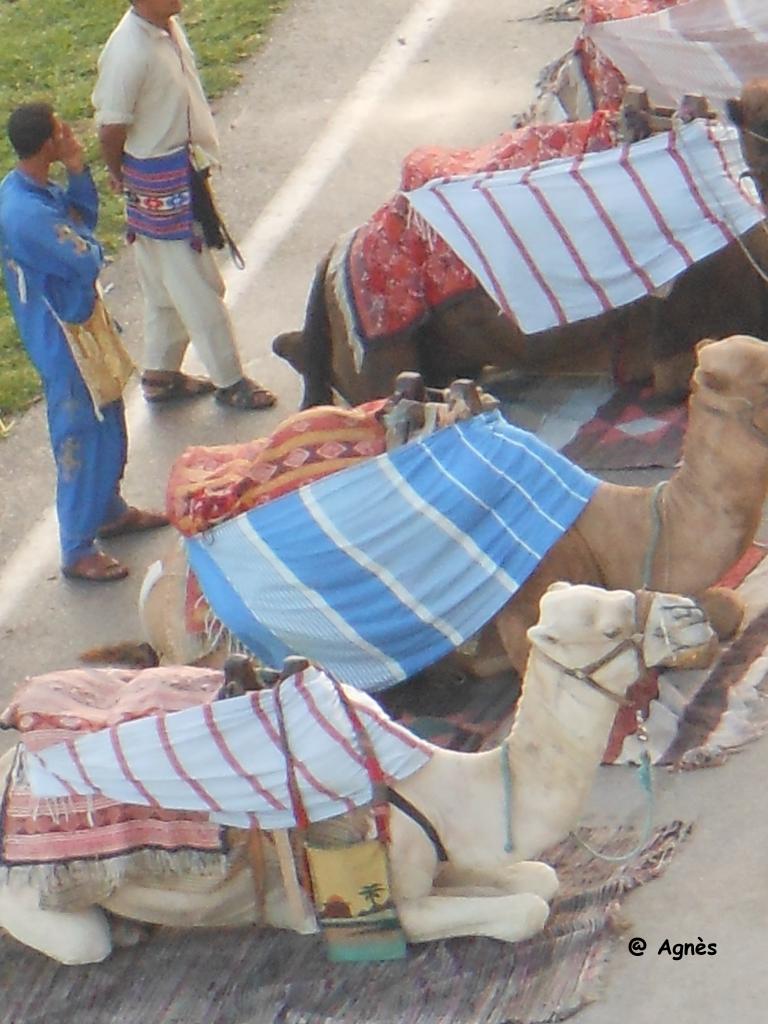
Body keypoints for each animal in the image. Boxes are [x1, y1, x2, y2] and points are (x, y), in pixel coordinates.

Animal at [0, 581, 716, 962]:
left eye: (620, 597)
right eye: (611, 628)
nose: (692, 614)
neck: (440, 786)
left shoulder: (448, 853)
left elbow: (539, 878)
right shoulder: (388, 907)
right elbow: (524, 911)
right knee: (82, 944)